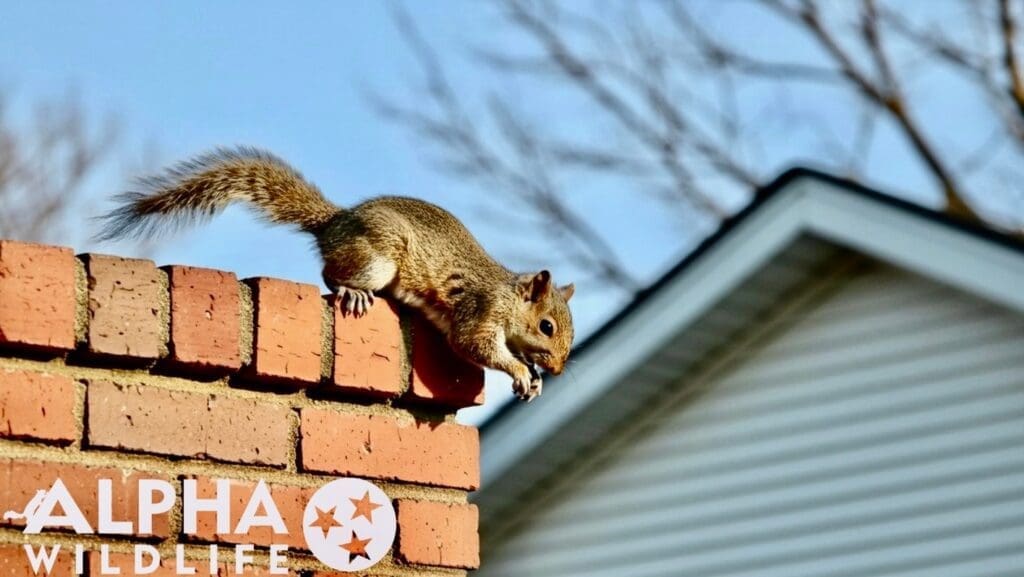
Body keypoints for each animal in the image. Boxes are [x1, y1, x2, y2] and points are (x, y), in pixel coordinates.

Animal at [98, 146, 574, 401]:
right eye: (547, 326)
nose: (556, 371)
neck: (509, 297)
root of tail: (334, 223)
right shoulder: (481, 309)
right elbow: (473, 343)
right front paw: (518, 370)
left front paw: (532, 380)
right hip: (378, 257)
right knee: (330, 272)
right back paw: (351, 291)